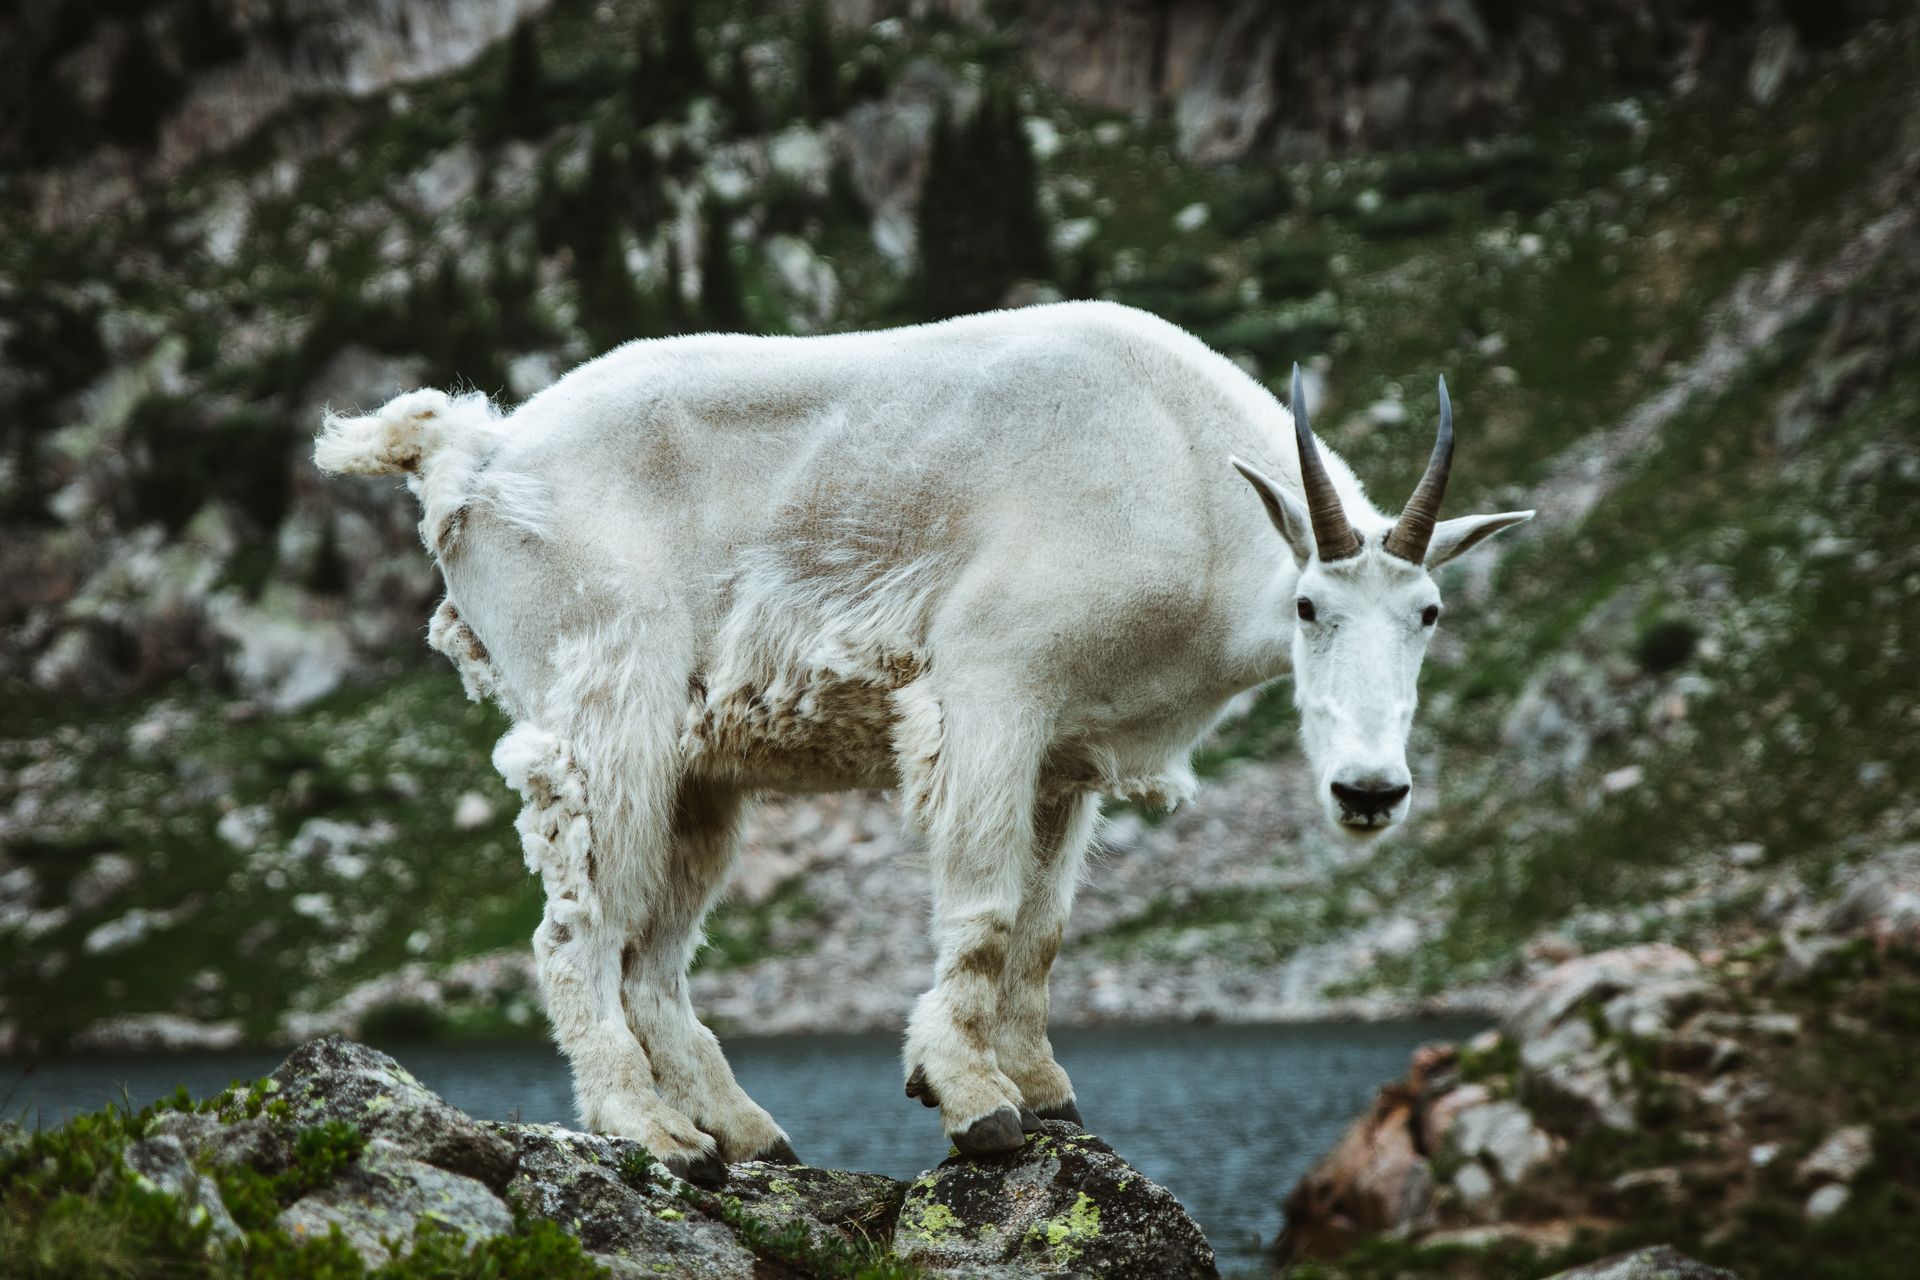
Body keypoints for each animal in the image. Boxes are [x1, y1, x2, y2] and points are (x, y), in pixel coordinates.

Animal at [314, 301, 1531, 1181]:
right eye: (1310, 608)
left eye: (1429, 612)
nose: (1369, 790)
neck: (1187, 476)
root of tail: (476, 459)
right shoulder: (996, 690)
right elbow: (986, 908)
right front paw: (970, 1099)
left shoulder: (1069, 755)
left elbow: (1042, 929)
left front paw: (1047, 1092)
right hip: (609, 700)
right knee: (579, 929)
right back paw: (652, 1133)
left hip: (699, 772)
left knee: (653, 952)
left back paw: (747, 1134)